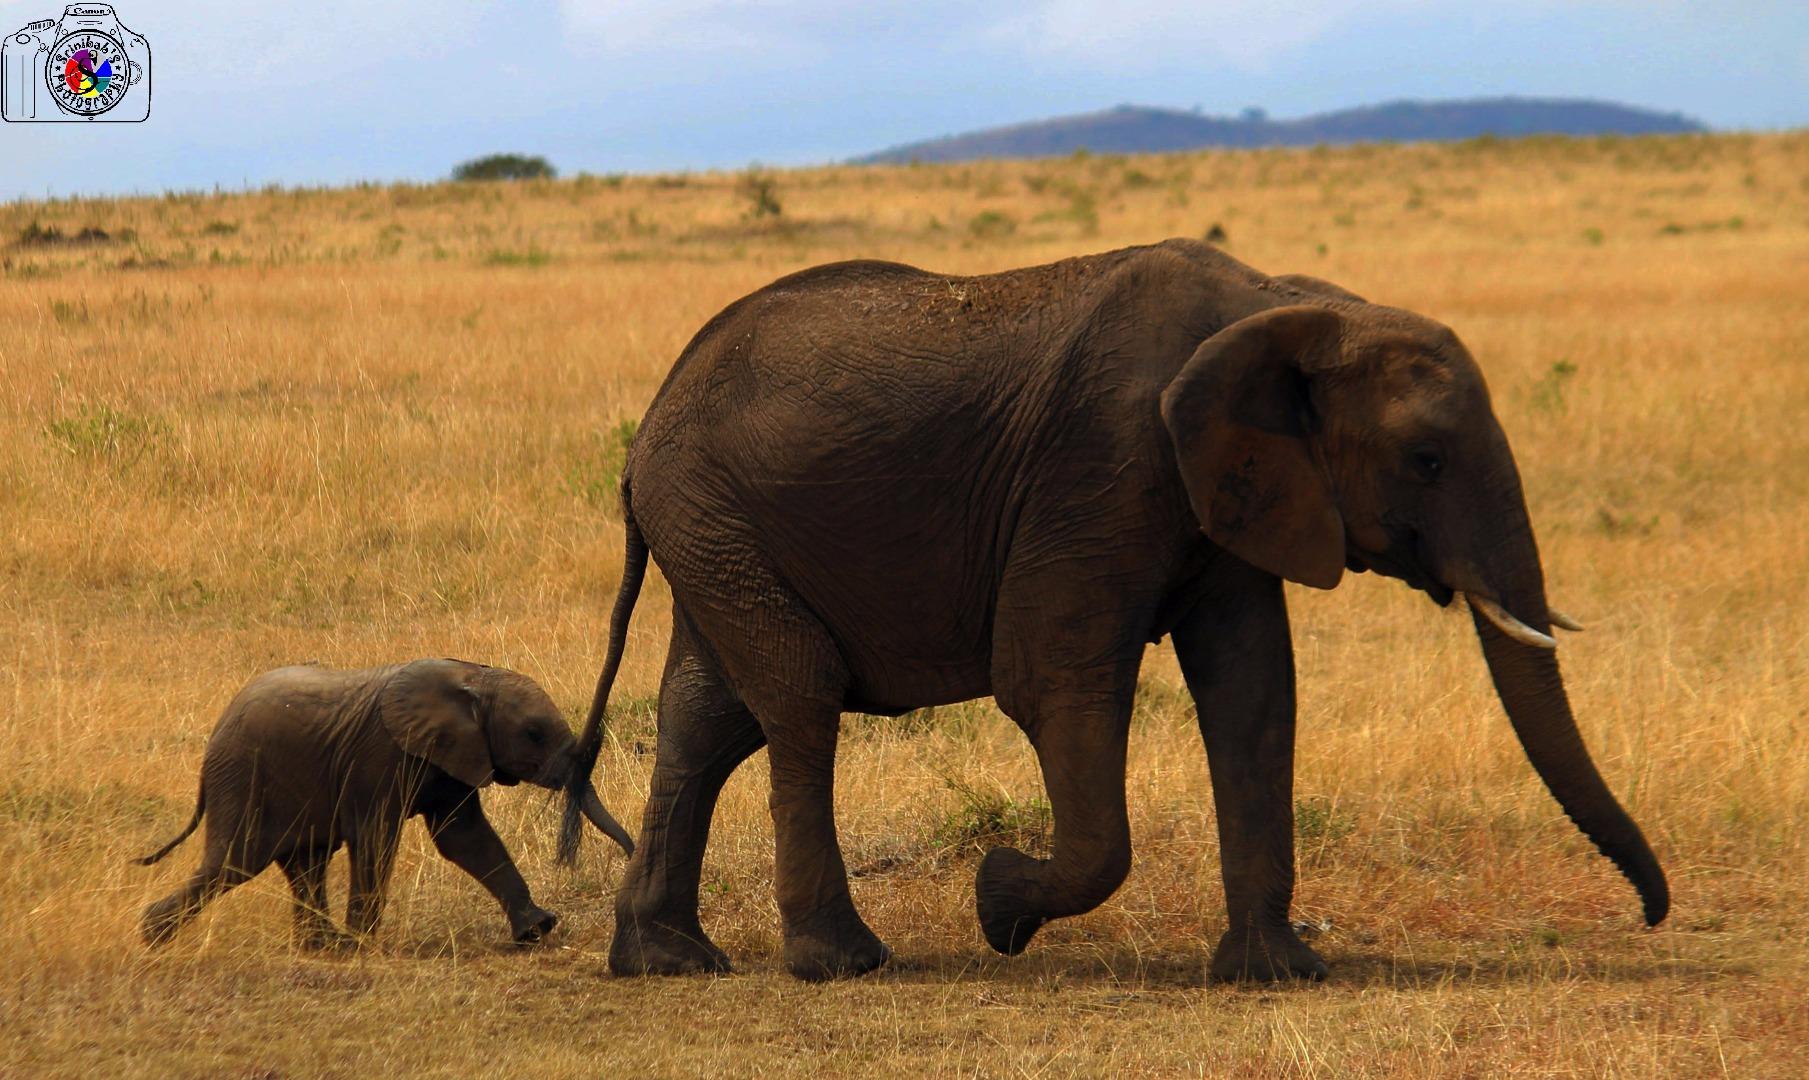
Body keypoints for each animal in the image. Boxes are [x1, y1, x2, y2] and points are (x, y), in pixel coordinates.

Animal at [133, 658, 633, 940]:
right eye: (533, 734)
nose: (631, 855)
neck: (474, 677)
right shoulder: (379, 755)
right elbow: (376, 837)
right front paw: (367, 941)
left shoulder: (452, 754)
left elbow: (465, 837)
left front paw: (538, 929)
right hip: (242, 775)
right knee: (236, 863)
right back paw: (152, 935)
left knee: (304, 862)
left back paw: (325, 945)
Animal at [560, 240, 1664, 984]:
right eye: (1427, 459)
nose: (1652, 917)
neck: (1286, 305)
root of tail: (645, 431)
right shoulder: (1103, 466)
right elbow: (1054, 683)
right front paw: (999, 903)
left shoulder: (1231, 488)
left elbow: (1254, 692)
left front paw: (1275, 977)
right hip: (714, 515)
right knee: (797, 695)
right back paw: (844, 962)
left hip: (715, 529)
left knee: (707, 718)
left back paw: (669, 960)